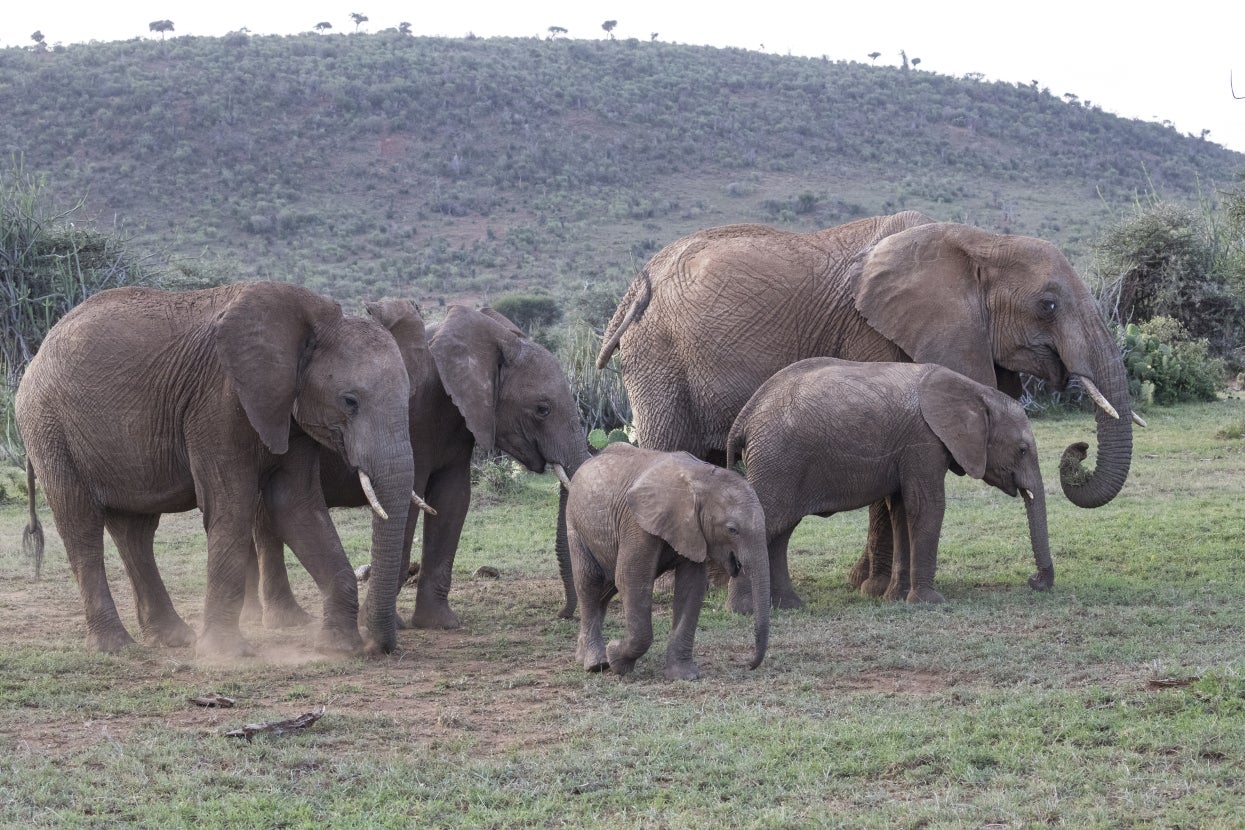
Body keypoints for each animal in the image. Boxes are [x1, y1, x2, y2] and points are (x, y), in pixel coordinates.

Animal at [16, 282, 417, 656]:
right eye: (349, 401)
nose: (378, 647)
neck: (312, 320)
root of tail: (38, 354)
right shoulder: (217, 401)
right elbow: (233, 507)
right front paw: (226, 654)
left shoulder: (288, 411)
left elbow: (298, 507)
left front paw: (338, 647)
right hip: (49, 427)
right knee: (80, 524)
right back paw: (114, 646)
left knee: (135, 530)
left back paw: (172, 638)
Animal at [244, 303, 591, 631]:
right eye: (542, 409)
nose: (562, 613)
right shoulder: (415, 421)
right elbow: (412, 502)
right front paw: (380, 623)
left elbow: (453, 501)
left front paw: (440, 624)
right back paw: (284, 621)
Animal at [566, 443, 770, 680]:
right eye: (732, 530)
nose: (749, 664)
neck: (701, 477)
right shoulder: (637, 523)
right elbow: (631, 579)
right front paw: (616, 658)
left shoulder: (693, 530)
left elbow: (691, 587)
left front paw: (685, 676)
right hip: (575, 524)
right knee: (590, 581)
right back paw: (596, 663)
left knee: (606, 587)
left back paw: (584, 656)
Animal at [726, 358, 1054, 606]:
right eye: (1022, 450)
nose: (1034, 581)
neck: (975, 391)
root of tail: (744, 418)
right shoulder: (923, 441)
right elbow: (927, 505)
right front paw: (929, 602)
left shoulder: (908, 448)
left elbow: (902, 511)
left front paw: (895, 598)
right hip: (777, 461)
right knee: (766, 527)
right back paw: (745, 610)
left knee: (780, 532)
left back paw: (789, 605)